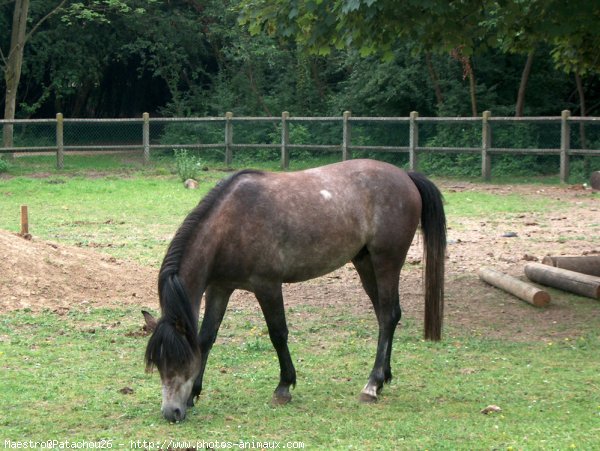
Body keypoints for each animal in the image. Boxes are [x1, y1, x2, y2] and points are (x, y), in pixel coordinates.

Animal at [145, 157, 446, 422]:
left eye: (180, 361)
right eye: (159, 364)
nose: (171, 413)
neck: (230, 224)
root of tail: (406, 176)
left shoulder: (267, 285)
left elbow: (278, 334)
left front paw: (283, 387)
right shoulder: (220, 288)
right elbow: (206, 338)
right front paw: (194, 394)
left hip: (386, 262)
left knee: (388, 316)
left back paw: (371, 385)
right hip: (365, 262)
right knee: (386, 315)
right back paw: (383, 378)